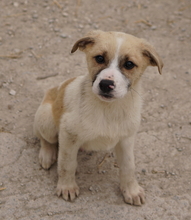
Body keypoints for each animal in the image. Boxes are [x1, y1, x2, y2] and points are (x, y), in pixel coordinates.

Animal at [33, 30, 163, 205]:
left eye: (129, 64)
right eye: (99, 58)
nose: (106, 85)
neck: (108, 109)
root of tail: (52, 89)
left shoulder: (126, 139)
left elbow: (129, 167)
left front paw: (131, 190)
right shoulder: (68, 134)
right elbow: (67, 164)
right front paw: (67, 186)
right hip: (46, 119)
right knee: (44, 138)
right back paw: (47, 154)